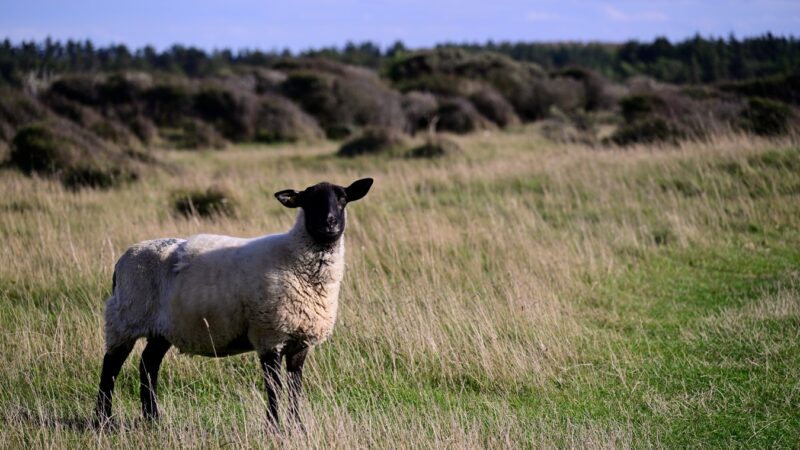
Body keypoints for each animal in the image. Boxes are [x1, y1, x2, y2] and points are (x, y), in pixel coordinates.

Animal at [94, 178, 374, 430]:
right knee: (111, 366)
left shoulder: (300, 340)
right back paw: (103, 419)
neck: (295, 259)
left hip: (162, 328)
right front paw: (274, 428)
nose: (330, 223)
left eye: (342, 199)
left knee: (148, 364)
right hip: (125, 318)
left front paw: (298, 427)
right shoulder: (269, 336)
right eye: (309, 201)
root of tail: (121, 262)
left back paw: (153, 419)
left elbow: (295, 387)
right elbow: (274, 387)